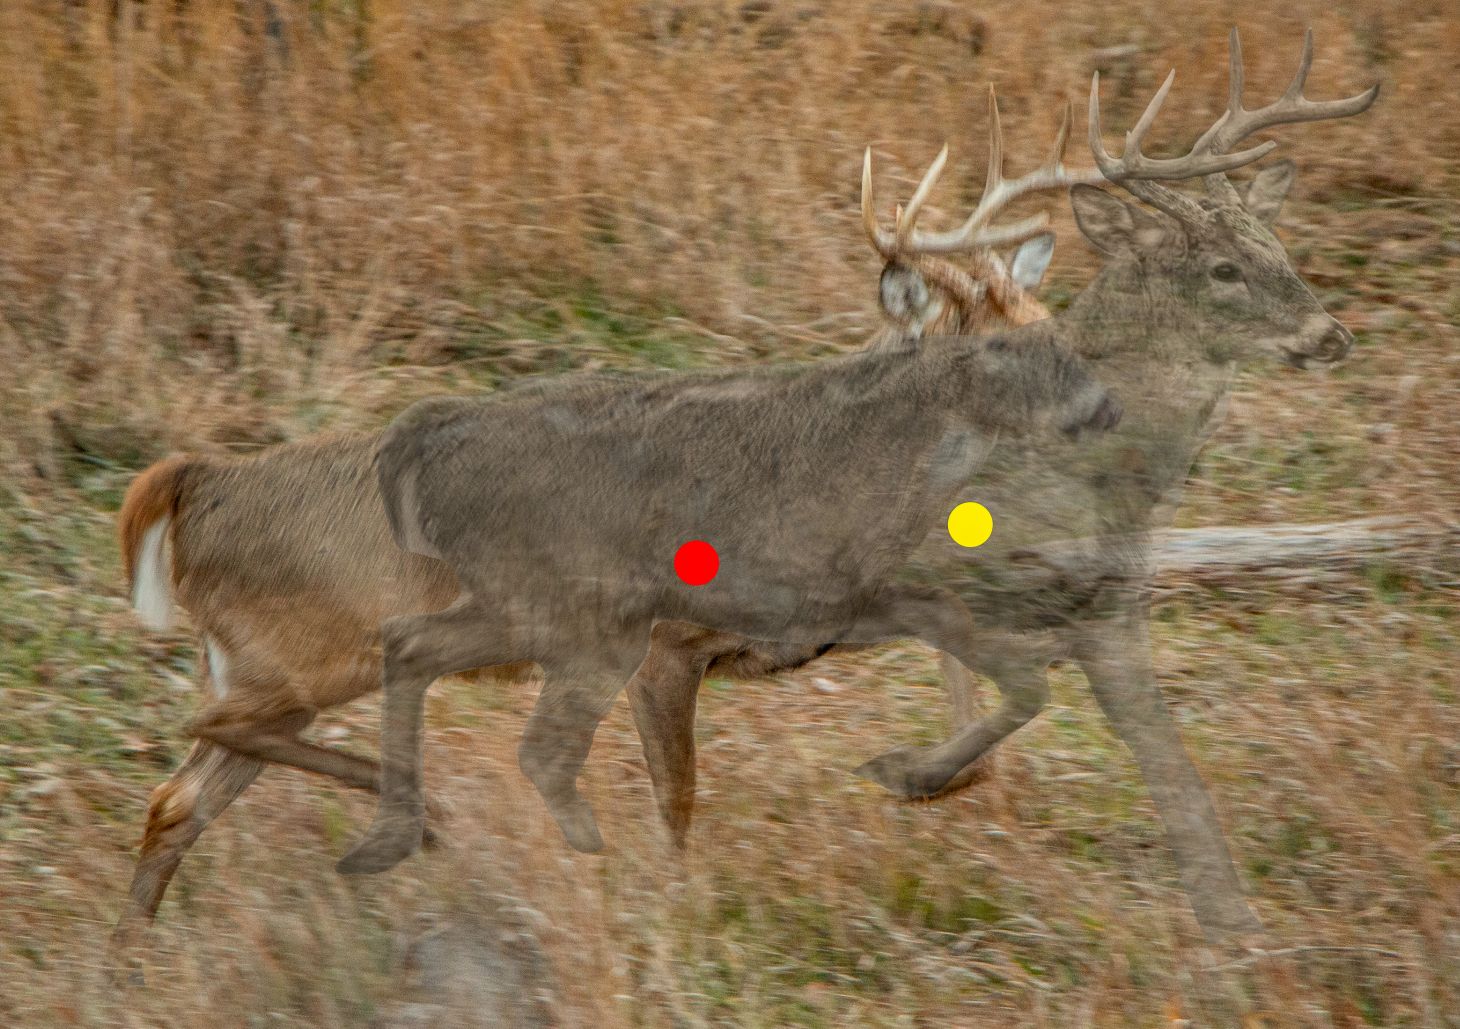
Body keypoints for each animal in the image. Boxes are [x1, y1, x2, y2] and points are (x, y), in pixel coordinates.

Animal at [108, 98, 1081, 959]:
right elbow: (678, 803)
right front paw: (681, 918)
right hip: (308, 656)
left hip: (267, 663)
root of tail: (196, 486)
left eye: (1046, 318)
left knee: (177, 797)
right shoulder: (667, 641)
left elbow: (990, 701)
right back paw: (430, 818)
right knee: (209, 732)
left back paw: (135, 961)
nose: (1090, 401)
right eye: (993, 347)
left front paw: (923, 782)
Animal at [340, 30, 1378, 951]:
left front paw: (1240, 933)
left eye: (1277, 246)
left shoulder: (1110, 613)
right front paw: (896, 775)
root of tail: (414, 440)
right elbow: (1013, 695)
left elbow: (1174, 774)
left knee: (421, 653)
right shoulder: (887, 590)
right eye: (1222, 268)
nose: (1330, 335)